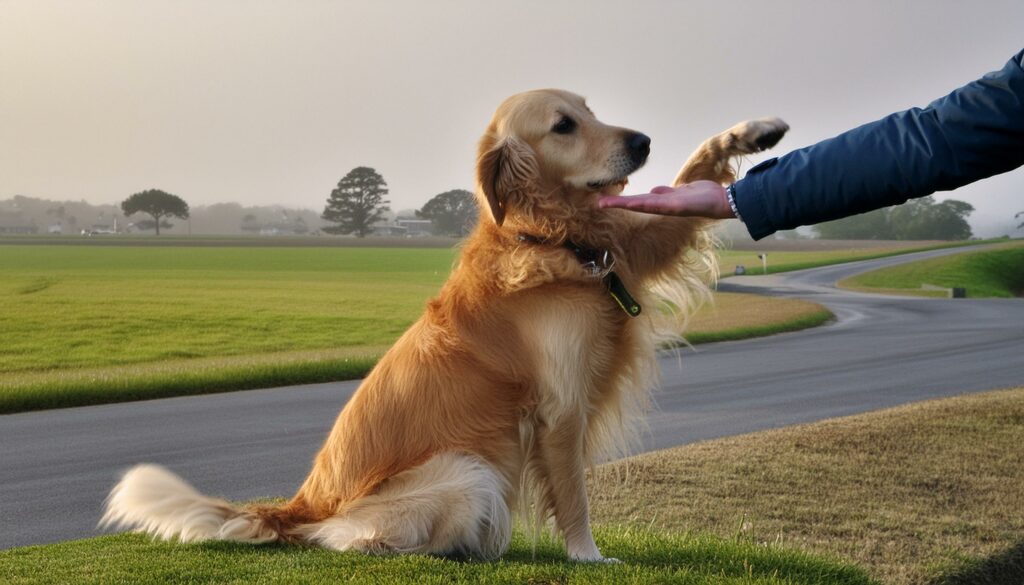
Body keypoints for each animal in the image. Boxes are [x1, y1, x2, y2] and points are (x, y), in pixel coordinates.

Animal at [101, 90, 782, 561]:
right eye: (563, 124)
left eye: (591, 110)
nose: (641, 141)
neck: (552, 236)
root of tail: (298, 504)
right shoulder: (560, 407)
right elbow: (574, 496)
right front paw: (588, 557)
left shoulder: (636, 247)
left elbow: (691, 178)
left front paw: (753, 131)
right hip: (466, 472)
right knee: (346, 538)